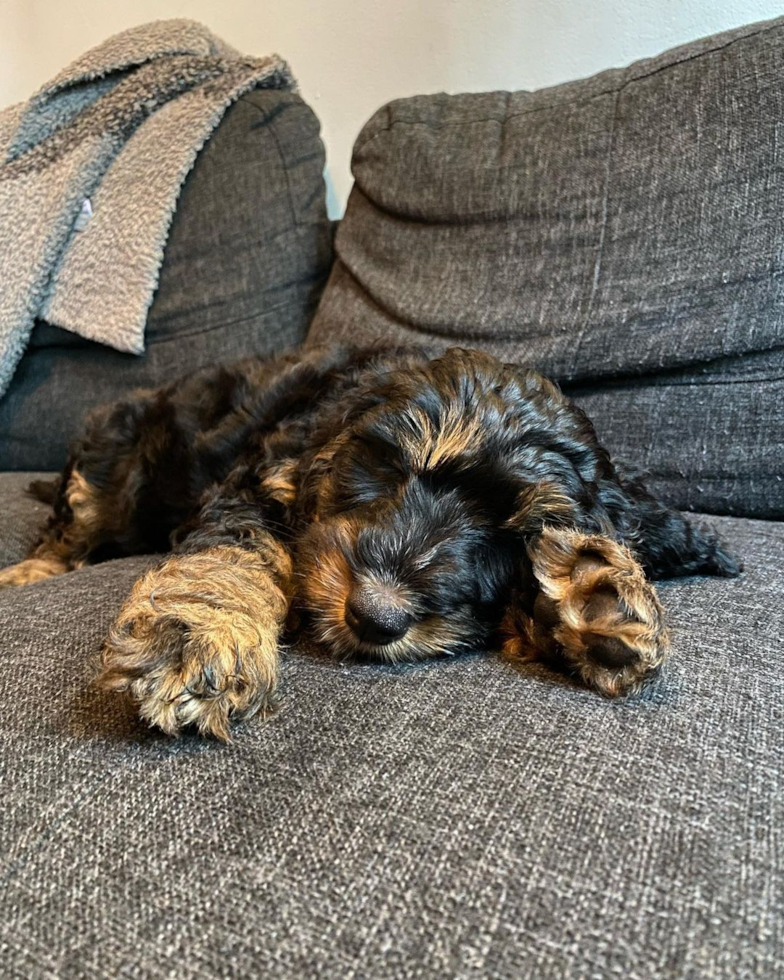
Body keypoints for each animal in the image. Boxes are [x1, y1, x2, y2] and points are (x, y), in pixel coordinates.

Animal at [1, 344, 740, 736]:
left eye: (515, 536)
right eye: (394, 467)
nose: (374, 616)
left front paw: (592, 595)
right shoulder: (253, 482)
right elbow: (229, 552)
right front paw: (196, 639)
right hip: (112, 454)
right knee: (74, 520)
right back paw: (32, 570)